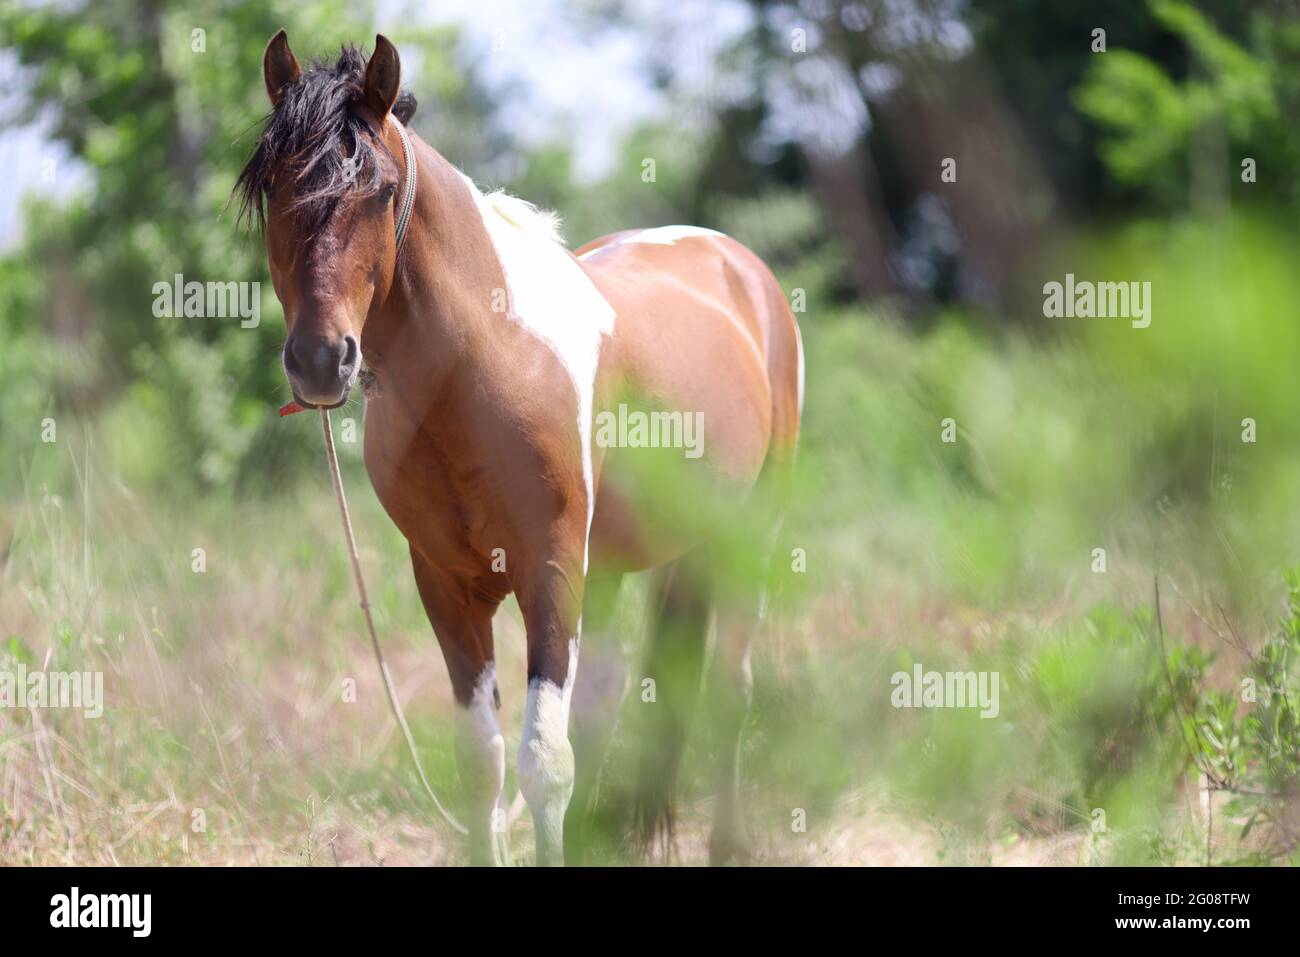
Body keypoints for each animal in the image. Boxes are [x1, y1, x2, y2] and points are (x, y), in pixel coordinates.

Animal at [236, 31, 800, 868]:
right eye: (273, 186)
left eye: (380, 189)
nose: (319, 360)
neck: (487, 363)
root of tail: (735, 264)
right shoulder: (447, 586)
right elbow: (484, 761)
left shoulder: (550, 570)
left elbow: (543, 759)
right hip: (619, 568)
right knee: (608, 701)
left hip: (744, 537)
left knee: (731, 689)